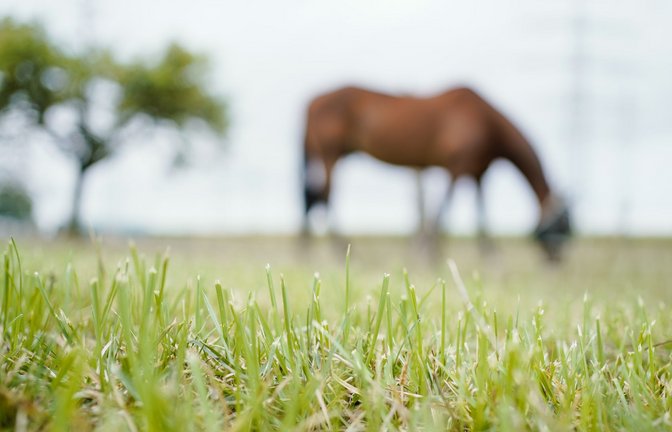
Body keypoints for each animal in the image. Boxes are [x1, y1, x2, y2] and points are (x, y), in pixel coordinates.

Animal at [301, 85, 571, 259]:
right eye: (563, 225)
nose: (557, 260)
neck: (487, 123)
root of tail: (312, 100)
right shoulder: (457, 166)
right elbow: (443, 210)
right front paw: (429, 253)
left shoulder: (478, 171)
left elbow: (481, 212)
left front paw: (490, 255)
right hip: (330, 153)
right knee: (324, 195)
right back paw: (340, 250)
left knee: (313, 197)